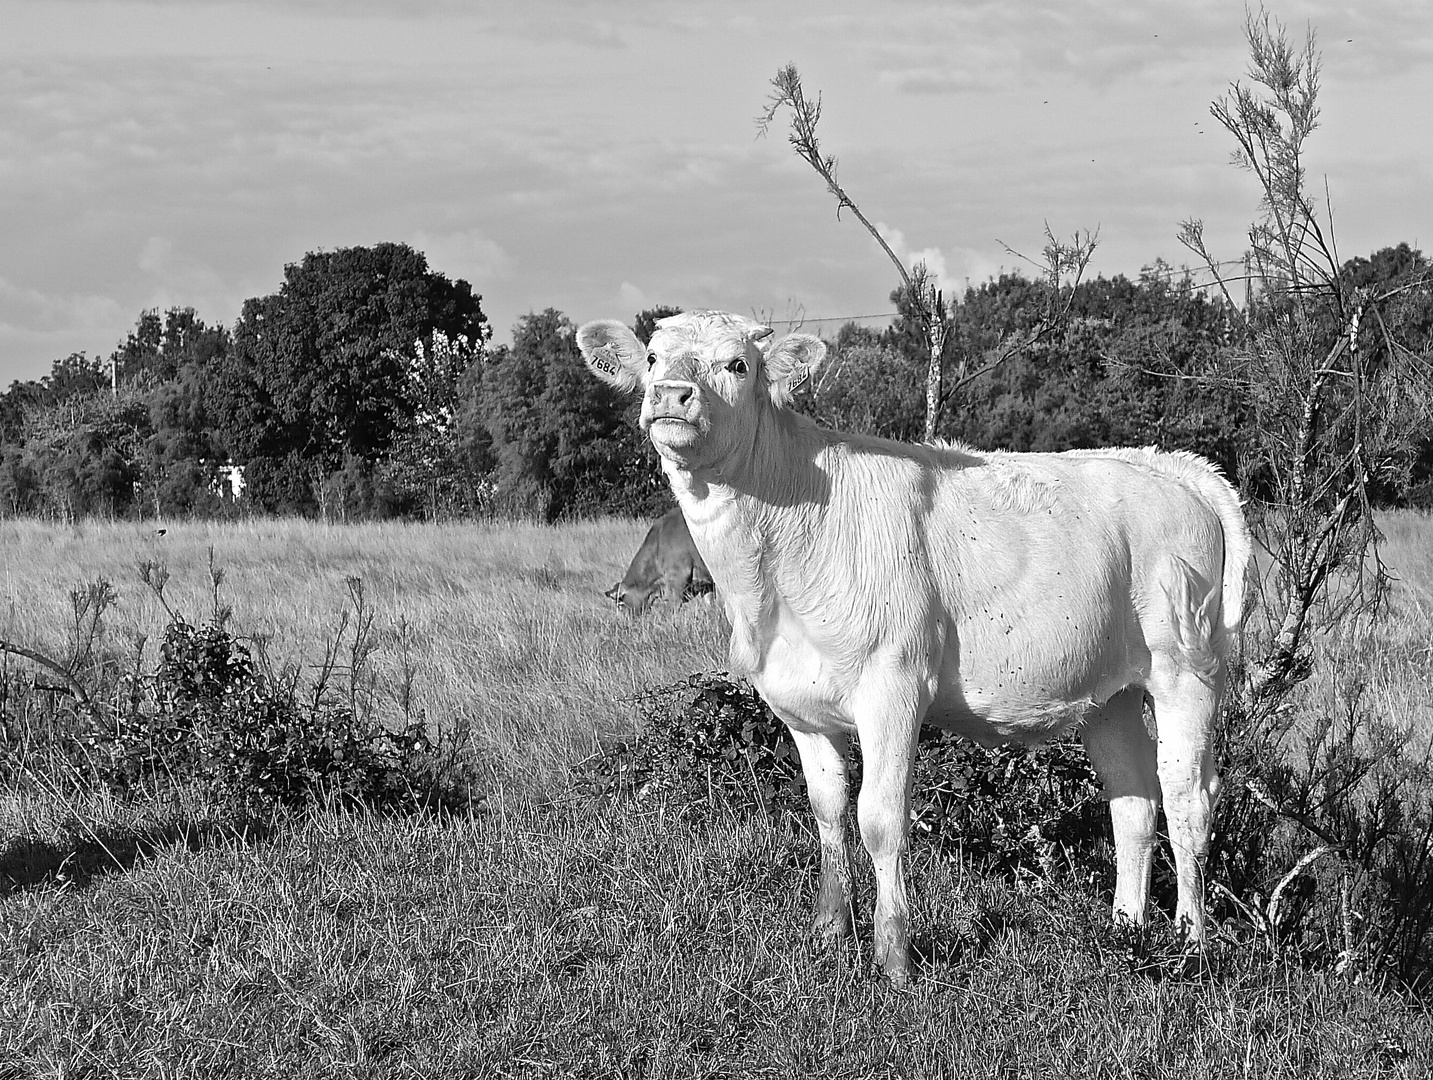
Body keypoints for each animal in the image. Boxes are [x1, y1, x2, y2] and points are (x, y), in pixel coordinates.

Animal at [576, 306, 1249, 979]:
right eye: (654, 359)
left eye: (736, 364)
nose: (670, 395)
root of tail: (1172, 468)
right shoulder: (799, 704)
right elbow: (828, 809)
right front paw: (831, 932)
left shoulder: (892, 687)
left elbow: (880, 817)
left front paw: (894, 956)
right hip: (1109, 691)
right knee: (1132, 796)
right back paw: (1124, 930)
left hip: (1187, 667)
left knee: (1187, 795)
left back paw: (1190, 942)